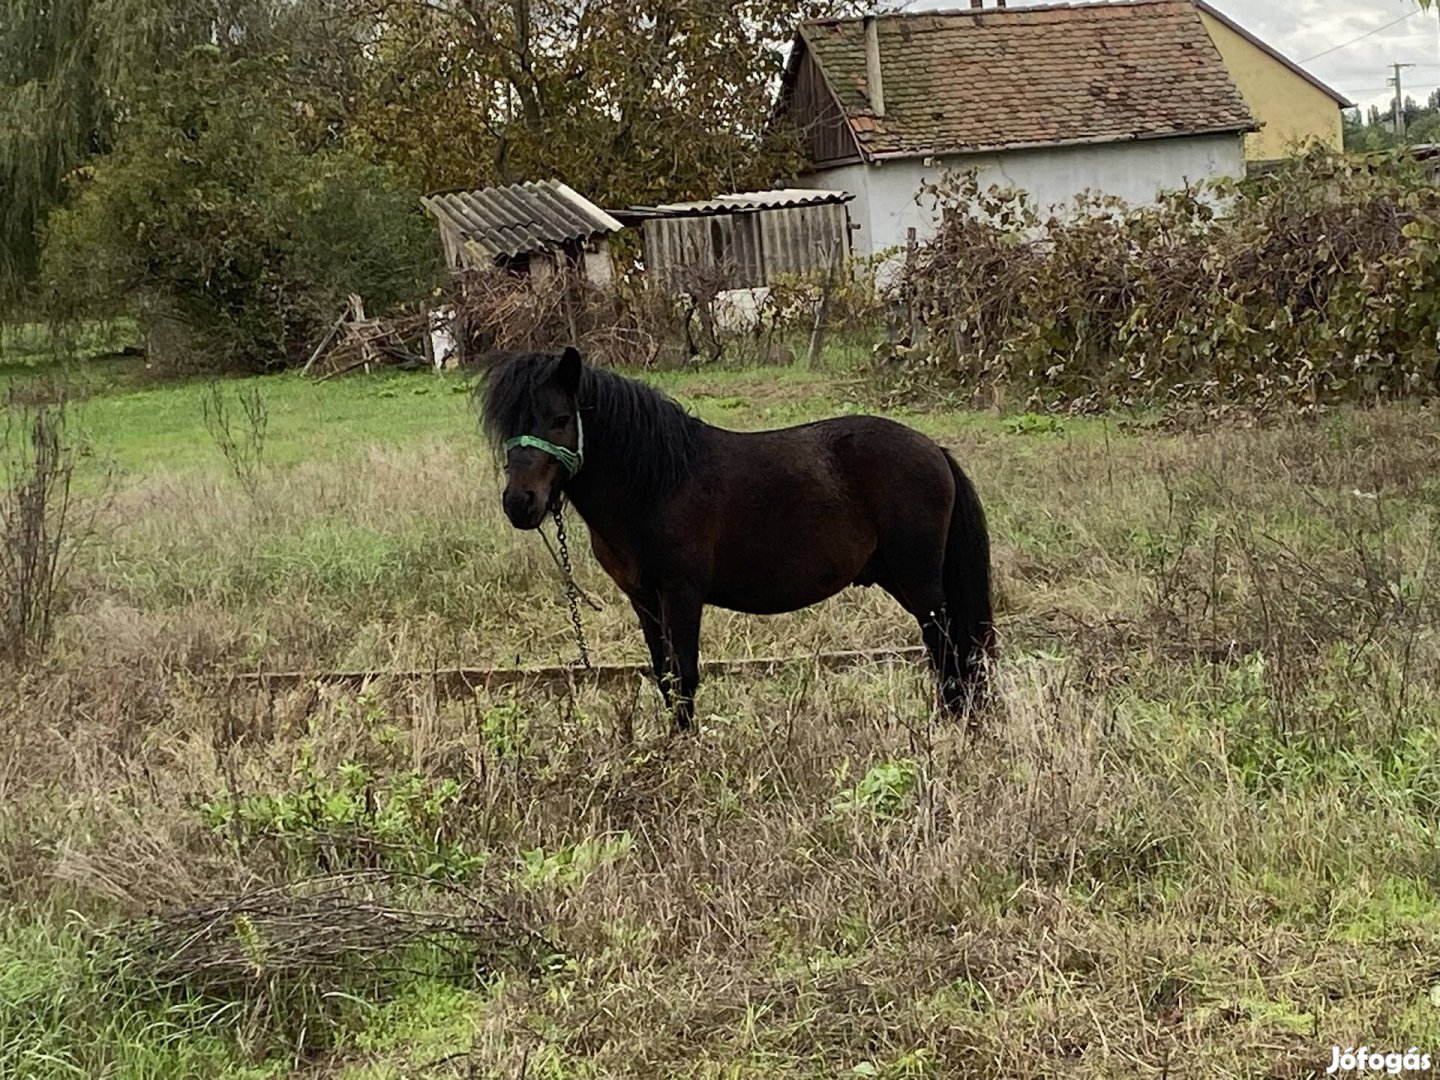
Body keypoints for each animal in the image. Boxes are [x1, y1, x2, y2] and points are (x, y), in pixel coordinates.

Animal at [478, 347, 996, 737]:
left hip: (919, 580)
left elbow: (685, 674)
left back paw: (951, 722)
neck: (656, 482)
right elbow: (664, 674)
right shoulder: (644, 600)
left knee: (947, 646)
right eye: (508, 425)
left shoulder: (682, 593)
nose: (520, 503)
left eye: (560, 418)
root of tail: (934, 450)